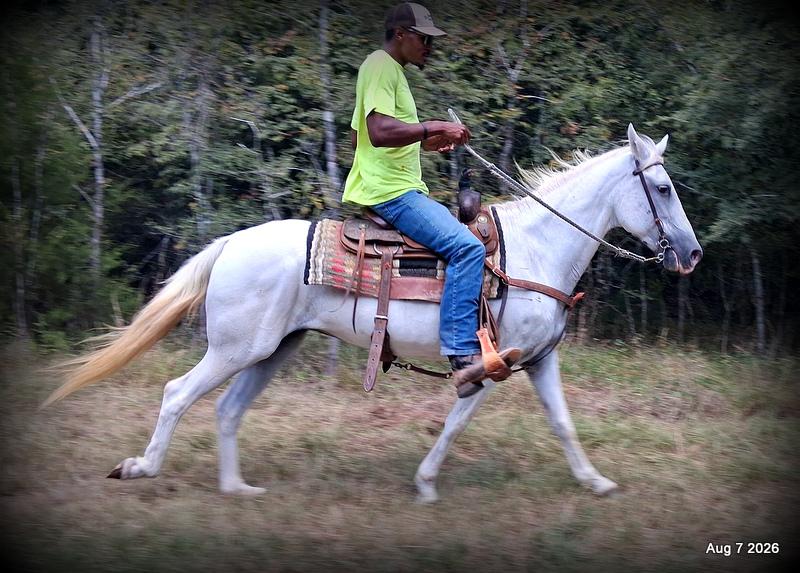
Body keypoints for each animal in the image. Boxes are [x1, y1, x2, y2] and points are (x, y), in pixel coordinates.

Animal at [45, 124, 702, 502]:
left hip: (271, 350)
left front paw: (595, 482)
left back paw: (237, 489)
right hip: (234, 348)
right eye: (662, 189)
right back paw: (142, 469)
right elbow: (457, 423)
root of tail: (229, 244)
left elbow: (563, 422)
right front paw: (426, 483)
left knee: (229, 410)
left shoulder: (538, 361)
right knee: (178, 393)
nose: (692, 254)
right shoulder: (493, 365)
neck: (537, 248)